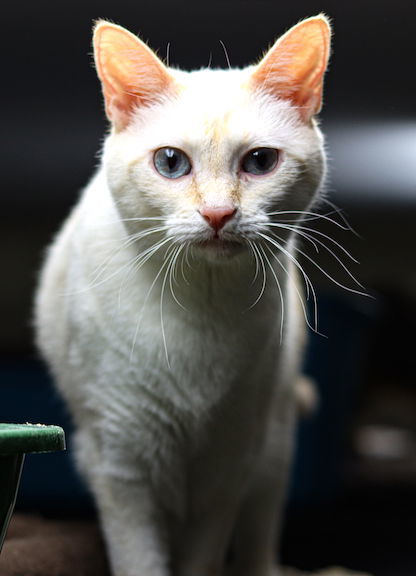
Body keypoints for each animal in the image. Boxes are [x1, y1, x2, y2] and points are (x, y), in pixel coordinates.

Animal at [34, 14, 330, 576]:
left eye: (260, 162)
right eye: (171, 163)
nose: (218, 214)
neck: (202, 314)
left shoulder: (225, 469)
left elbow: (201, 561)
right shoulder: (122, 462)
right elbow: (142, 562)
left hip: (271, 451)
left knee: (258, 547)